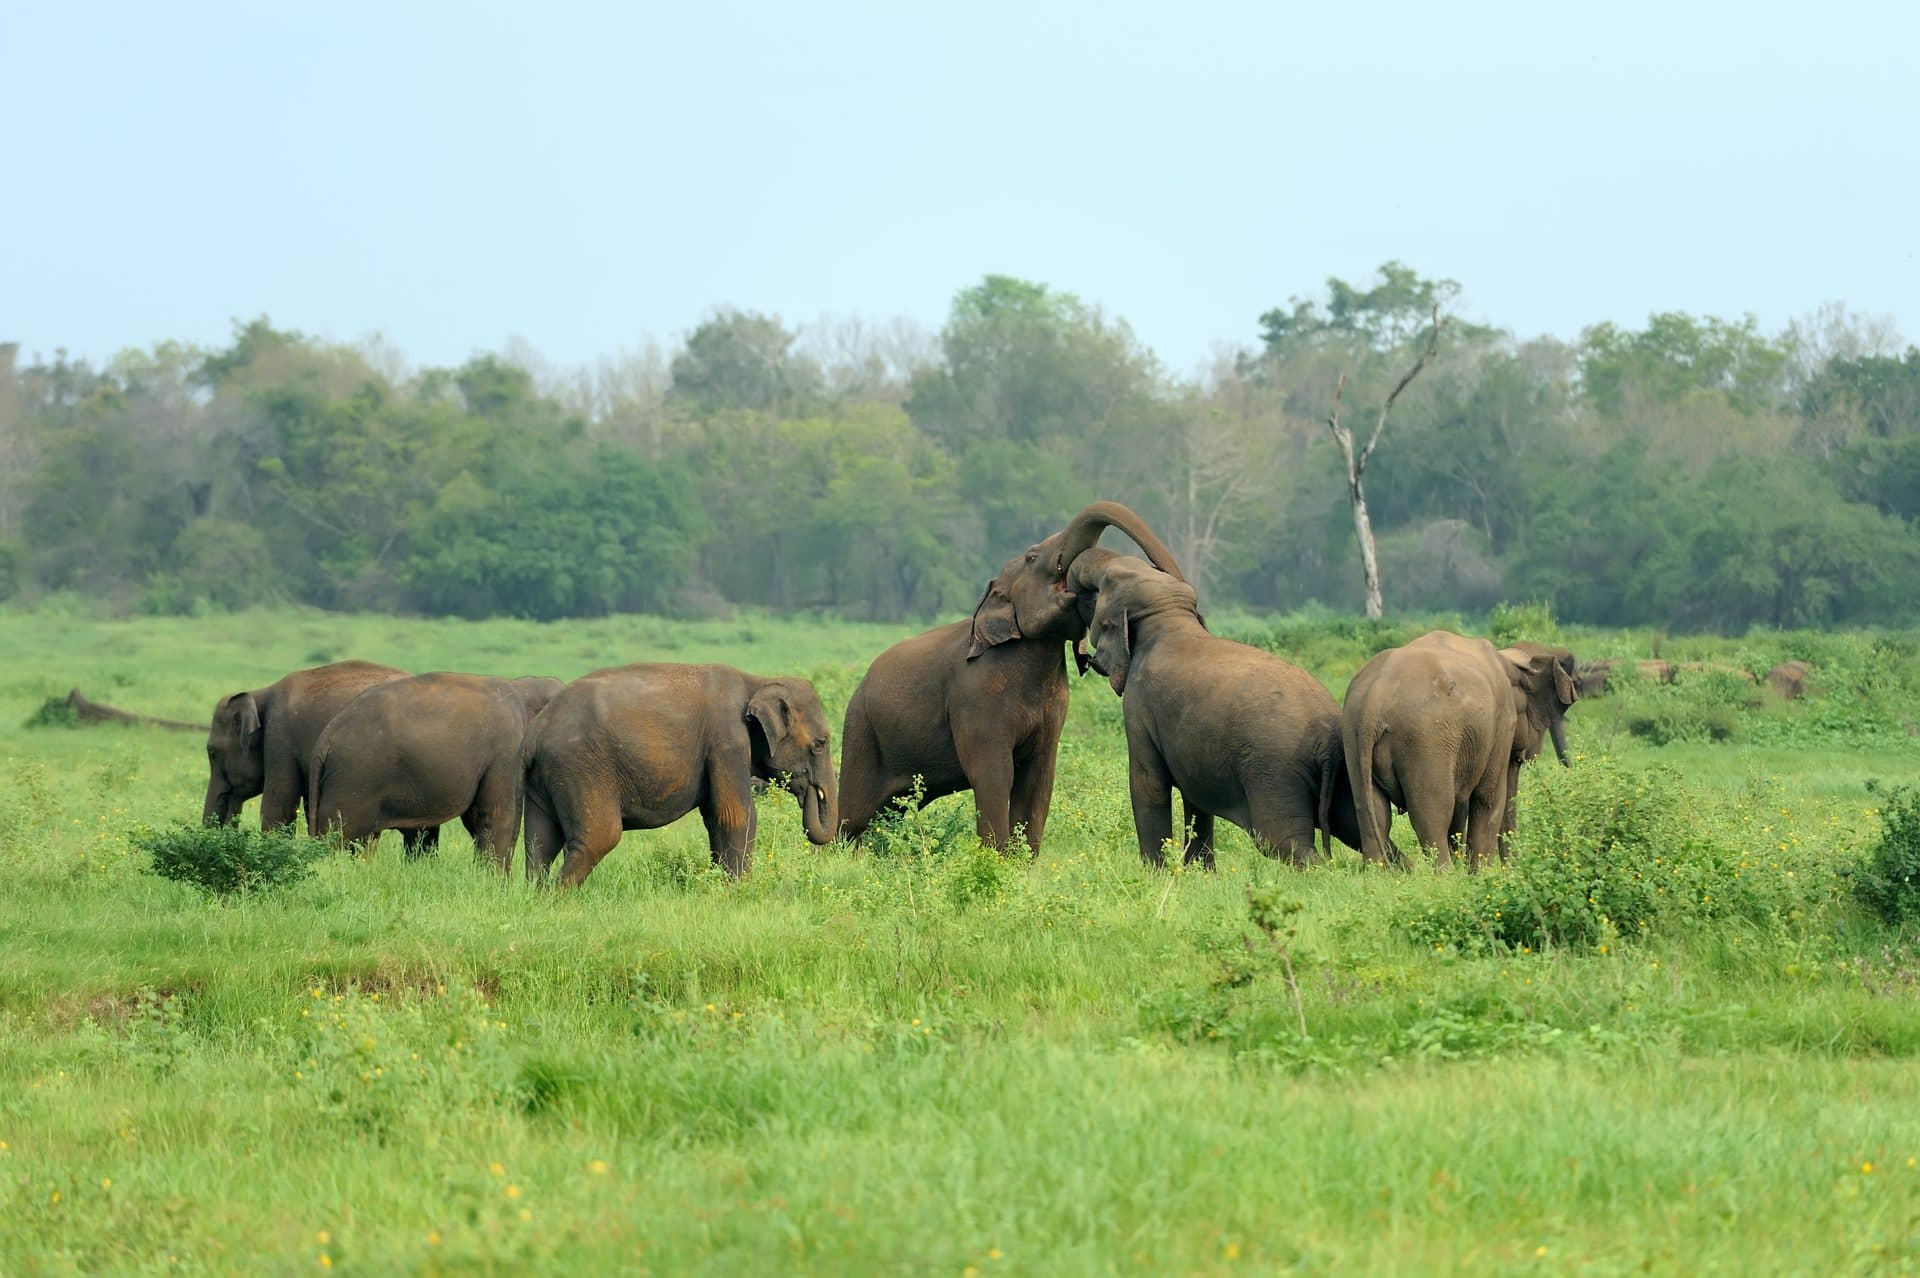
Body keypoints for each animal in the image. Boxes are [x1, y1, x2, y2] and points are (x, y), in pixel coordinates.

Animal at [307, 674, 562, 869]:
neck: (523, 685)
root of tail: (326, 739)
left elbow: (476, 819)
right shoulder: (507, 751)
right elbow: (497, 816)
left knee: (363, 841)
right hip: (354, 777)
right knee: (334, 834)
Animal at [522, 664, 837, 885]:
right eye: (820, 743)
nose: (808, 789)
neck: (756, 681)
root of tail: (536, 731)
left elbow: (714, 818)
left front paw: (721, 885)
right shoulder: (728, 741)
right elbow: (735, 814)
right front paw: (741, 890)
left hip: (546, 776)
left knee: (540, 841)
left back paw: (539, 897)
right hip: (580, 769)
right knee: (600, 836)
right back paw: (559, 899)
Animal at [837, 501, 1183, 854]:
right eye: (1031, 557)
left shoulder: (1055, 706)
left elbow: (1039, 777)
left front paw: (1022, 859)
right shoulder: (974, 696)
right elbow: (994, 774)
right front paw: (995, 857)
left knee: (891, 811)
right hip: (861, 733)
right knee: (854, 813)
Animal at [1067, 553, 1360, 868]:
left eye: (1102, 589)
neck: (1168, 616)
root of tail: (1327, 738)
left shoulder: (1138, 706)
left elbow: (1148, 783)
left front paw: (1157, 872)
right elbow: (1194, 797)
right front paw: (1200, 872)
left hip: (1276, 772)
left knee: (1282, 842)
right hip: (1339, 773)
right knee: (1358, 826)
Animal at [1343, 630, 1568, 872]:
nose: (1512, 869)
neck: (1508, 660)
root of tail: (1372, 703)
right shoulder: (1501, 724)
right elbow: (1488, 797)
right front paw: (1481, 875)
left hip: (1354, 737)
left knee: (1372, 812)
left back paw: (1376, 874)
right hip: (1425, 742)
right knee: (1432, 814)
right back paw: (1445, 875)